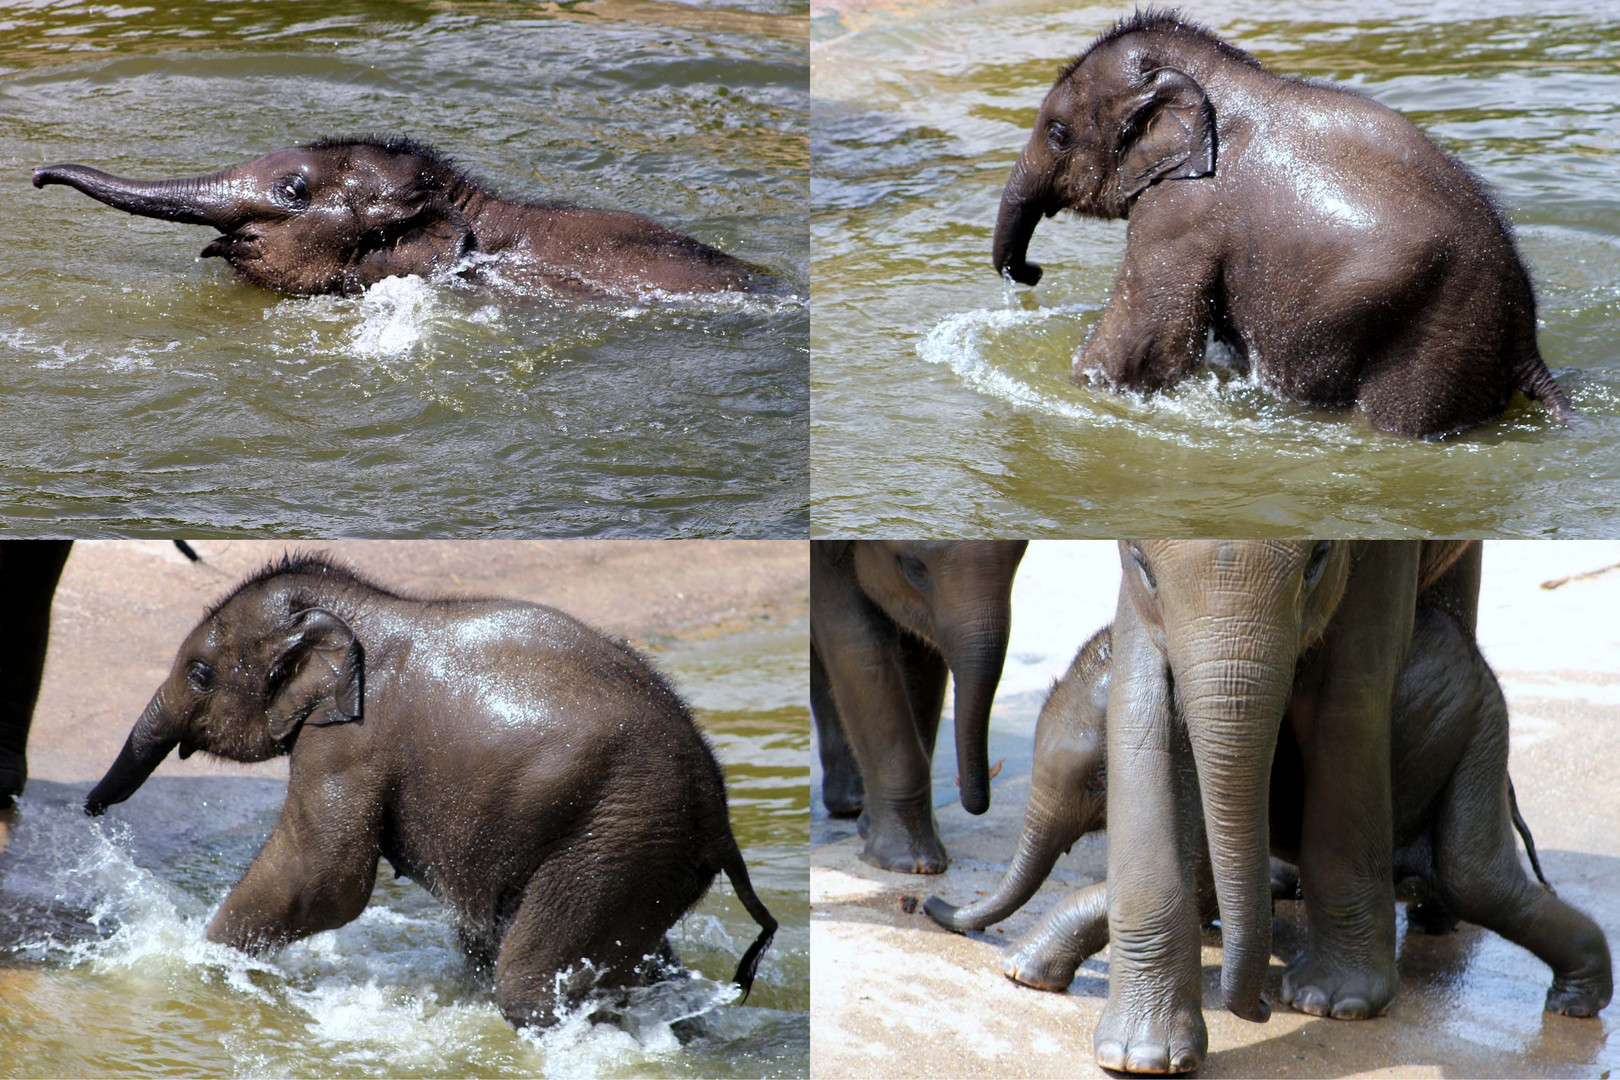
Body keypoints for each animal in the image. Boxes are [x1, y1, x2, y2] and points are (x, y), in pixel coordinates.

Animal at [82, 557, 777, 1029]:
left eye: (200, 674)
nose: (93, 809)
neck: (362, 605)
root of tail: (721, 820)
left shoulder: (350, 741)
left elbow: (323, 878)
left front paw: (193, 966)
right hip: (642, 852)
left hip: (622, 834)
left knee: (527, 983)